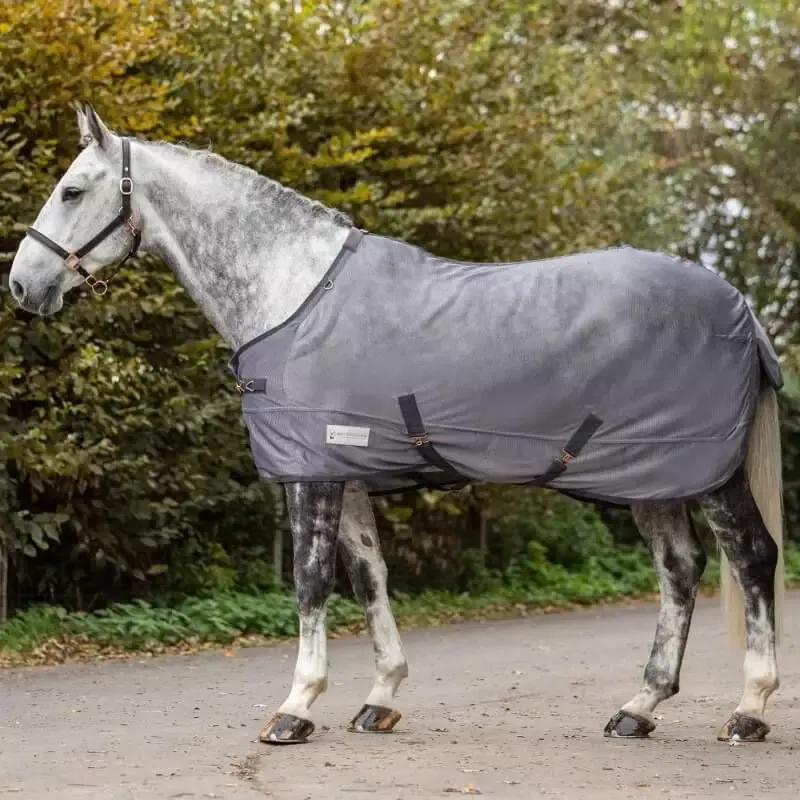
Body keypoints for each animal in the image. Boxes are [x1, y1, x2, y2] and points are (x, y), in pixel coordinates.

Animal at [8, 104, 784, 747]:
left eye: (72, 190)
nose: (21, 286)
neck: (293, 293)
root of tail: (741, 308)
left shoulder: (312, 474)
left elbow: (312, 581)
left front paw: (296, 707)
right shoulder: (345, 472)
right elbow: (369, 577)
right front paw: (379, 698)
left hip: (705, 472)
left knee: (751, 557)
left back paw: (748, 710)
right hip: (654, 480)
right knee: (680, 569)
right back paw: (637, 709)